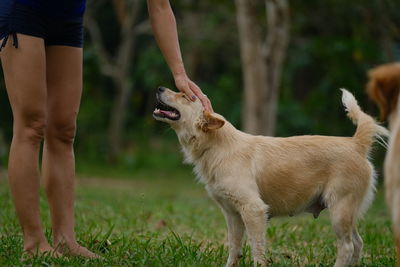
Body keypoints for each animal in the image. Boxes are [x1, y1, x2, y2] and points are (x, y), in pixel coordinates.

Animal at [152, 87, 388, 266]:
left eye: (184, 96)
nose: (160, 88)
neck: (219, 146)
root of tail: (356, 143)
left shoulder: (253, 210)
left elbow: (257, 249)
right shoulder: (232, 214)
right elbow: (234, 249)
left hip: (339, 211)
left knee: (347, 247)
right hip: (347, 214)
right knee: (357, 244)